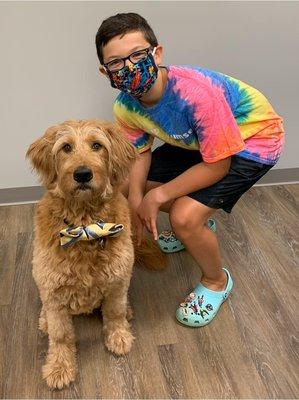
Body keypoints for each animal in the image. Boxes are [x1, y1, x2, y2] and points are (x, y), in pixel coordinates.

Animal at [26, 119, 168, 390]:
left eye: (97, 145)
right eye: (66, 147)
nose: (83, 174)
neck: (85, 226)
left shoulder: (118, 280)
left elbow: (114, 312)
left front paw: (119, 336)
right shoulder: (53, 290)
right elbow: (61, 335)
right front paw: (59, 367)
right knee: (47, 312)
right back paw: (44, 321)